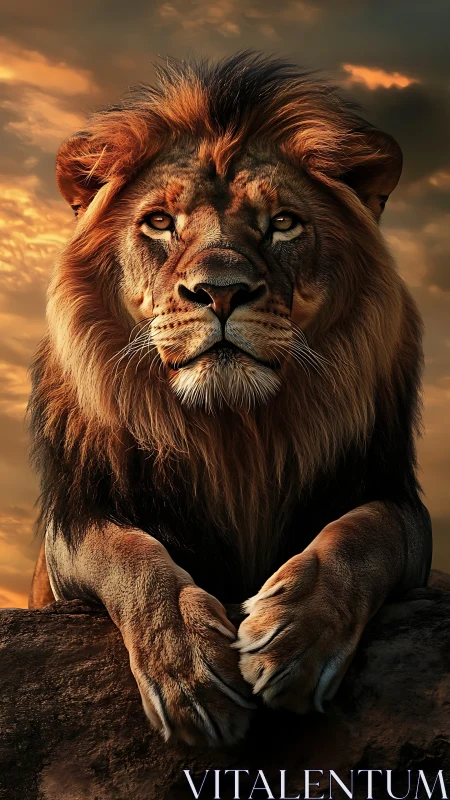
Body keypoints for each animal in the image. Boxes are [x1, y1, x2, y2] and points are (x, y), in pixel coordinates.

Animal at [28, 52, 432, 747]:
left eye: (284, 224)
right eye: (161, 223)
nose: (220, 291)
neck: (234, 435)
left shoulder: (403, 511)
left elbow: (362, 533)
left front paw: (293, 636)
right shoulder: (72, 531)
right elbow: (131, 555)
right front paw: (191, 671)